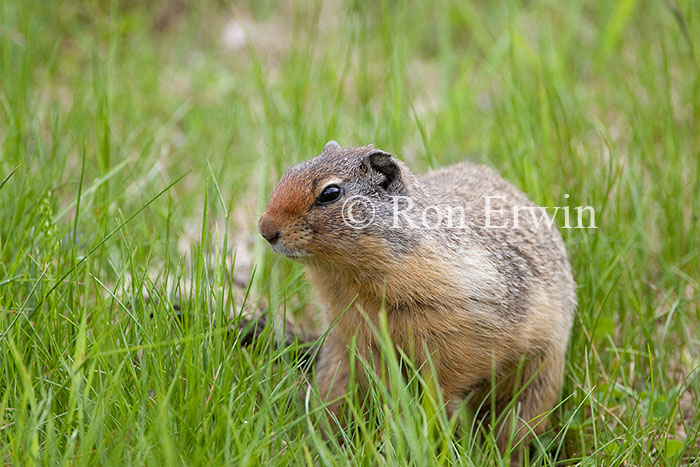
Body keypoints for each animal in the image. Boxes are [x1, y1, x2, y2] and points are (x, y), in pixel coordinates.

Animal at [255, 141, 576, 451]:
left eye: (330, 193)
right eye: (289, 172)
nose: (265, 229)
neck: (348, 282)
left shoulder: (462, 324)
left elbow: (445, 379)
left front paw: (423, 423)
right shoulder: (348, 331)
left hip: (543, 374)